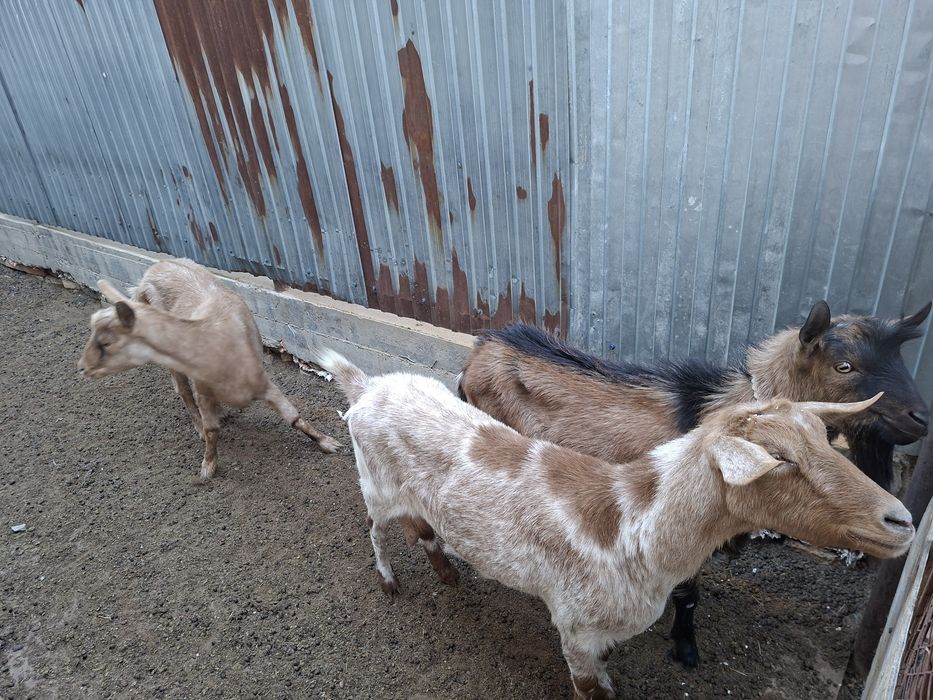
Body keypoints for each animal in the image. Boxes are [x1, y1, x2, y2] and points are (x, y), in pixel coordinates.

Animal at [78, 259, 340, 478]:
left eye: (106, 343)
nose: (82, 368)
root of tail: (151, 271)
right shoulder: (202, 388)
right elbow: (211, 429)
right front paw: (208, 467)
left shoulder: (264, 383)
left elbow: (294, 417)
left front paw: (329, 443)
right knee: (183, 392)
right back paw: (199, 426)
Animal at [315, 346, 914, 700]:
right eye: (780, 459)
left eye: (824, 438)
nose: (902, 520)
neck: (636, 526)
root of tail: (365, 385)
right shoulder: (574, 627)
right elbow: (593, 690)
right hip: (373, 481)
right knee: (376, 528)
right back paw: (390, 581)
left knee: (420, 528)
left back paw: (447, 572)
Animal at [456, 300, 930, 666]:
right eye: (844, 366)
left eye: (901, 360)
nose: (920, 418)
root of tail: (479, 350)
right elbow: (687, 594)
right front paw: (686, 648)